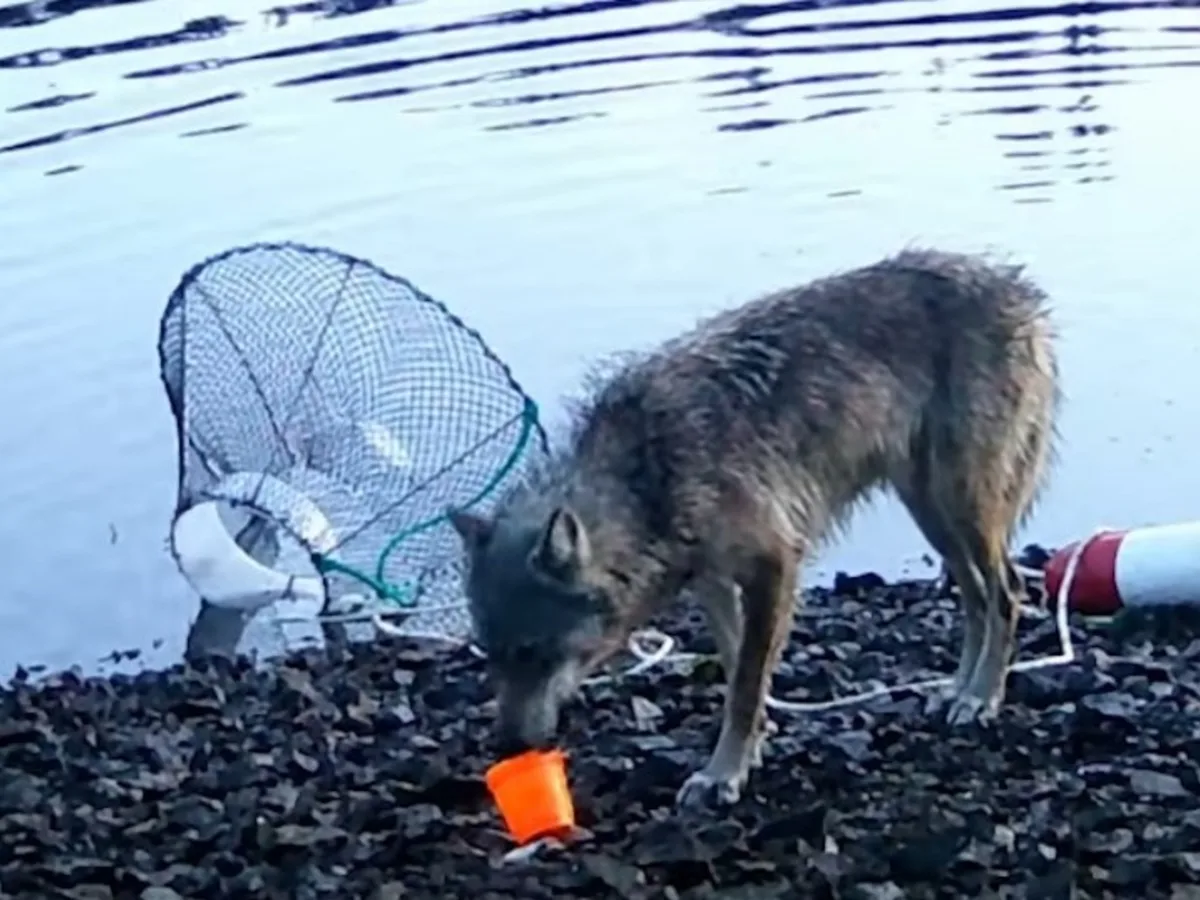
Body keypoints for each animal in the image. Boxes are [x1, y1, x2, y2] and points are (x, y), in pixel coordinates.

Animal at [450, 248, 1061, 809]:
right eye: (490, 655)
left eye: (532, 653)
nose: (506, 748)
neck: (650, 476)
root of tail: (1018, 288)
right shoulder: (715, 582)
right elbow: (737, 660)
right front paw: (753, 745)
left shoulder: (774, 566)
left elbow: (744, 683)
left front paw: (723, 774)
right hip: (934, 513)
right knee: (977, 598)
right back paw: (959, 691)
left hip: (960, 506)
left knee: (1008, 591)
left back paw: (982, 699)